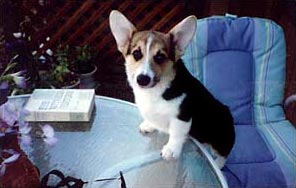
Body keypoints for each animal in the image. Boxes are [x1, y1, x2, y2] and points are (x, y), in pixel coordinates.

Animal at [110, 10, 235, 169]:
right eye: (137, 54)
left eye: (160, 57)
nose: (142, 79)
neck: (157, 90)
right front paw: (149, 125)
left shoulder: (182, 116)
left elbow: (176, 132)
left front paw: (171, 150)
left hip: (220, 136)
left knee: (223, 154)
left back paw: (218, 163)